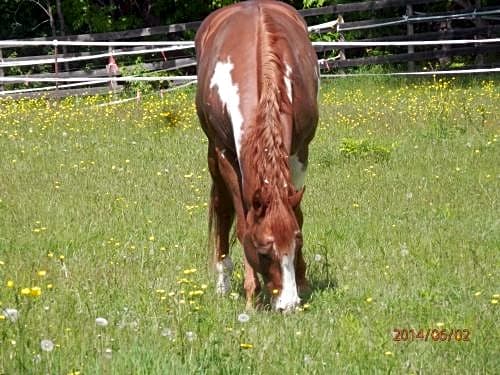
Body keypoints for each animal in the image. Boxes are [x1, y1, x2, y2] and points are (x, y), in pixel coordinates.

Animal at [194, 0, 316, 312]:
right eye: (262, 251)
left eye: (297, 243)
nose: (288, 304)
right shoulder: (225, 155)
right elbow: (241, 224)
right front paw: (251, 294)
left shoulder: (300, 151)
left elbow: (298, 213)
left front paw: (302, 281)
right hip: (213, 157)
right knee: (223, 211)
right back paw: (223, 284)